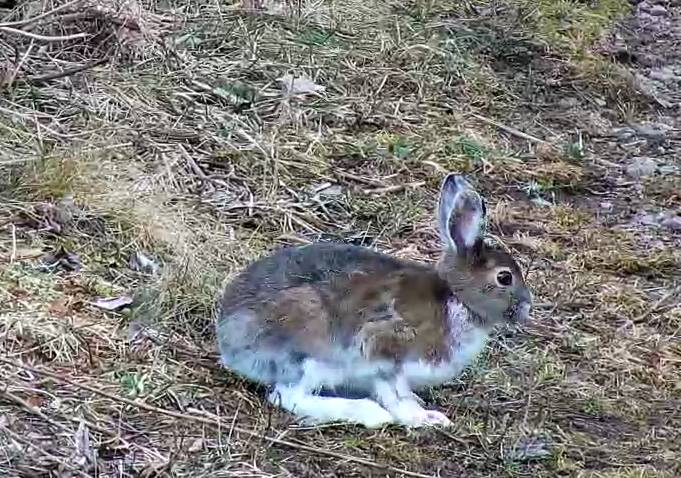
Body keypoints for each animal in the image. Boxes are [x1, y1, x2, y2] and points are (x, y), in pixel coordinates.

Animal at [216, 173, 533, 428]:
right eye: (505, 278)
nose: (526, 307)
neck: (457, 300)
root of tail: (229, 340)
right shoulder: (386, 351)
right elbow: (396, 395)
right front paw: (424, 418)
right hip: (311, 352)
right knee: (287, 395)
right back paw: (369, 413)